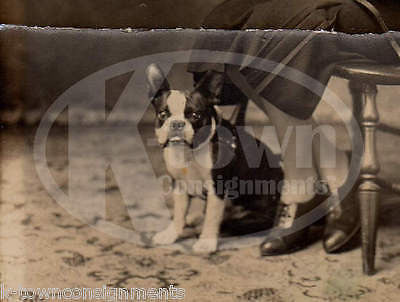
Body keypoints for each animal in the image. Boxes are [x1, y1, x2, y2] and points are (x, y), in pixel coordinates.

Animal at [146, 64, 282, 255]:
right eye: (163, 114)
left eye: (195, 115)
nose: (177, 124)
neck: (190, 153)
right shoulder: (179, 185)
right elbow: (179, 214)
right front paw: (171, 234)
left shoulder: (216, 188)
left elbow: (212, 217)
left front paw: (206, 243)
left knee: (231, 223)